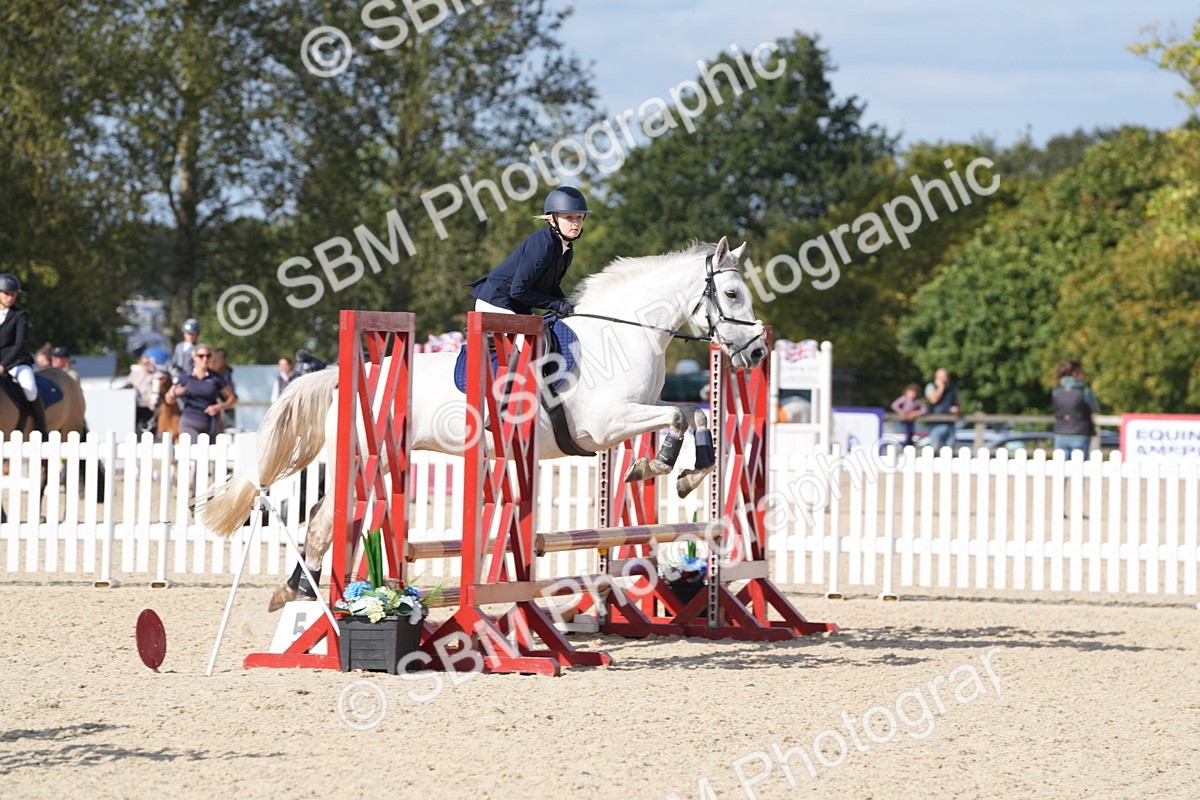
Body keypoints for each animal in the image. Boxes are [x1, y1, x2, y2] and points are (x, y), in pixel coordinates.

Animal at [194, 237, 768, 609]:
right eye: (731, 295)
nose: (758, 352)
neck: (624, 333)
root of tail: (342, 377)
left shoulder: (630, 416)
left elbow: (692, 411)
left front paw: (682, 471)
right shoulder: (605, 425)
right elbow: (679, 414)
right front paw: (667, 466)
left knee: (322, 516)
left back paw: (300, 590)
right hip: (359, 455)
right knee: (321, 519)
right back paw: (302, 593)